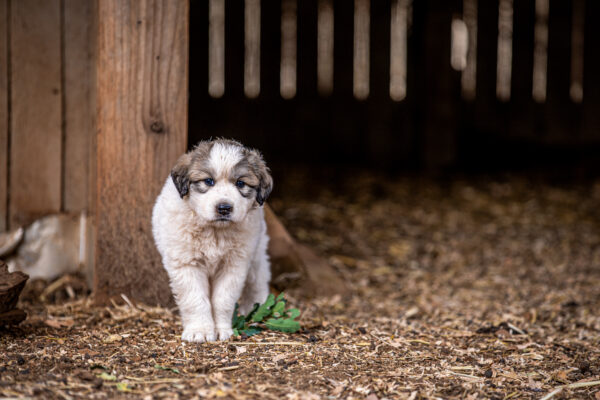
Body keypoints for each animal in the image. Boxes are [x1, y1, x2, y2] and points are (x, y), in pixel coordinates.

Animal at [151, 139, 274, 342]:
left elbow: (223, 300)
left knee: (257, 281)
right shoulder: (187, 264)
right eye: (208, 181)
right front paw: (199, 331)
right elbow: (196, 299)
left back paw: (259, 309)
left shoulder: (235, 265)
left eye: (240, 183)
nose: (224, 208)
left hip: (257, 252)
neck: (215, 232)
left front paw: (222, 330)